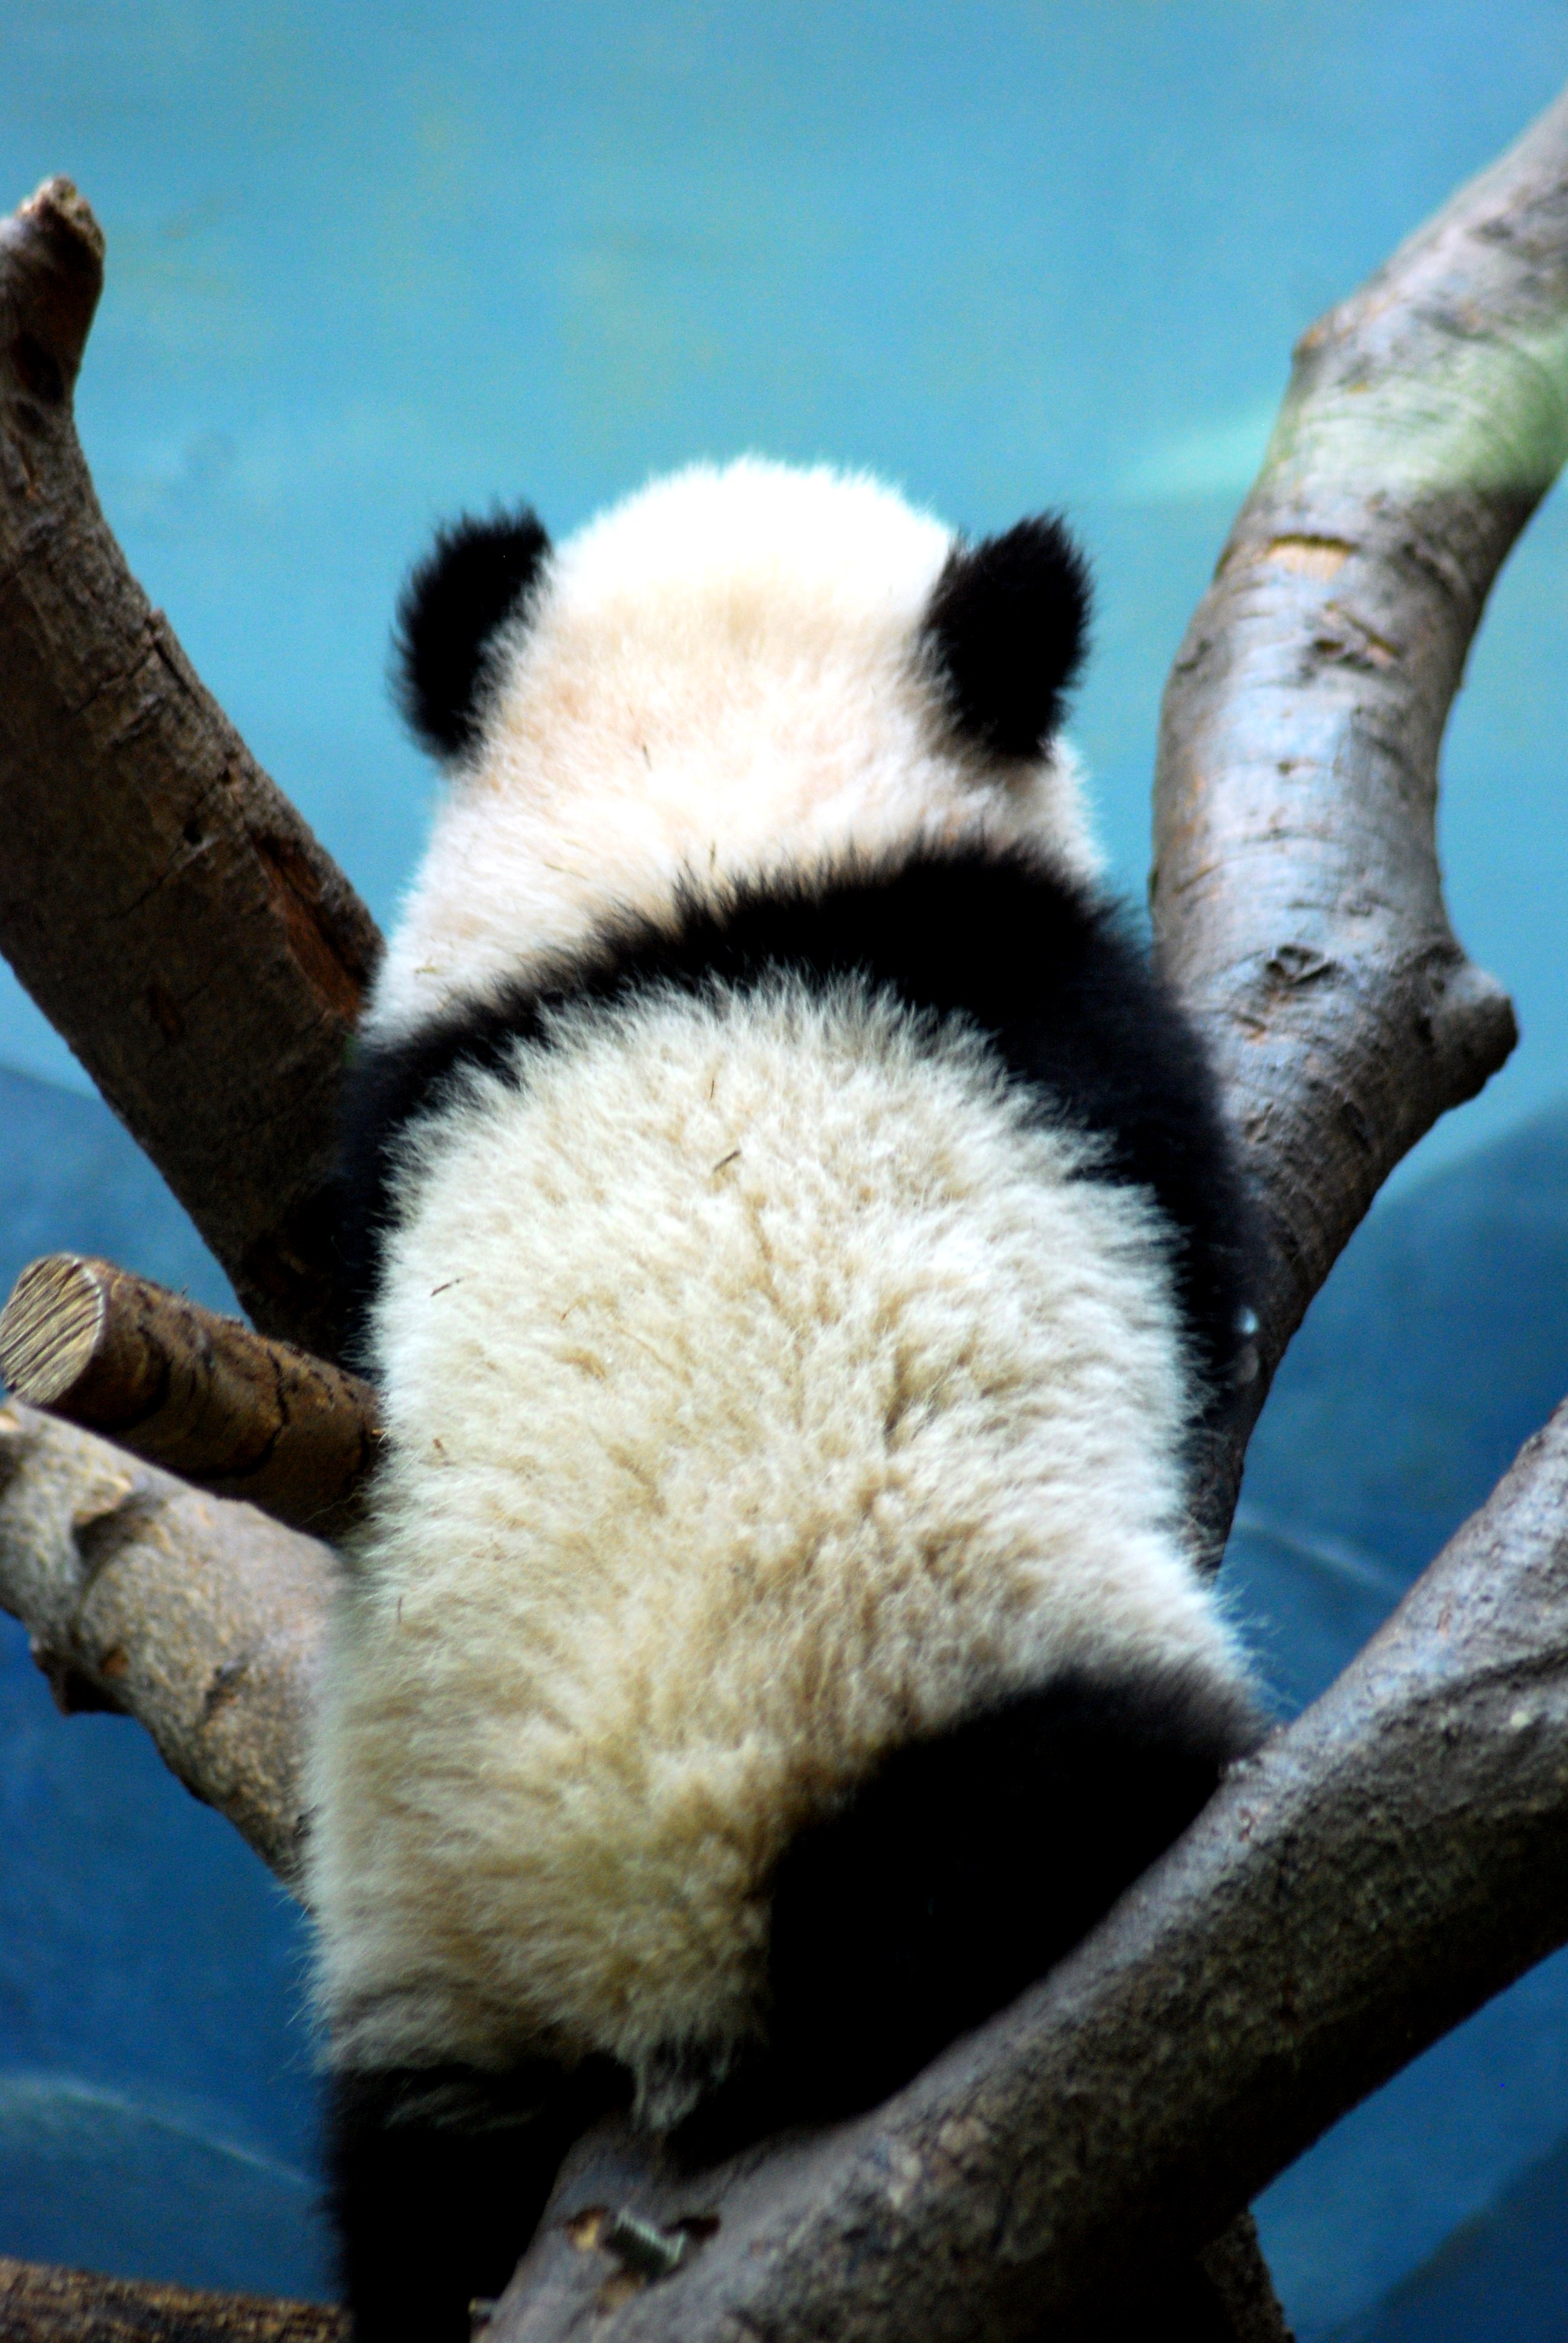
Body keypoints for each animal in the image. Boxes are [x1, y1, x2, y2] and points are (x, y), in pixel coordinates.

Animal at [308, 458, 1261, 2341]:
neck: (702, 873)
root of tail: (636, 1947)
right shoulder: (1053, 1011)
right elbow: (1202, 1239)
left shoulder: (407, 1098)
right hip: (920, 1670)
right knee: (1056, 1803)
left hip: (415, 1946)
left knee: (412, 2173)